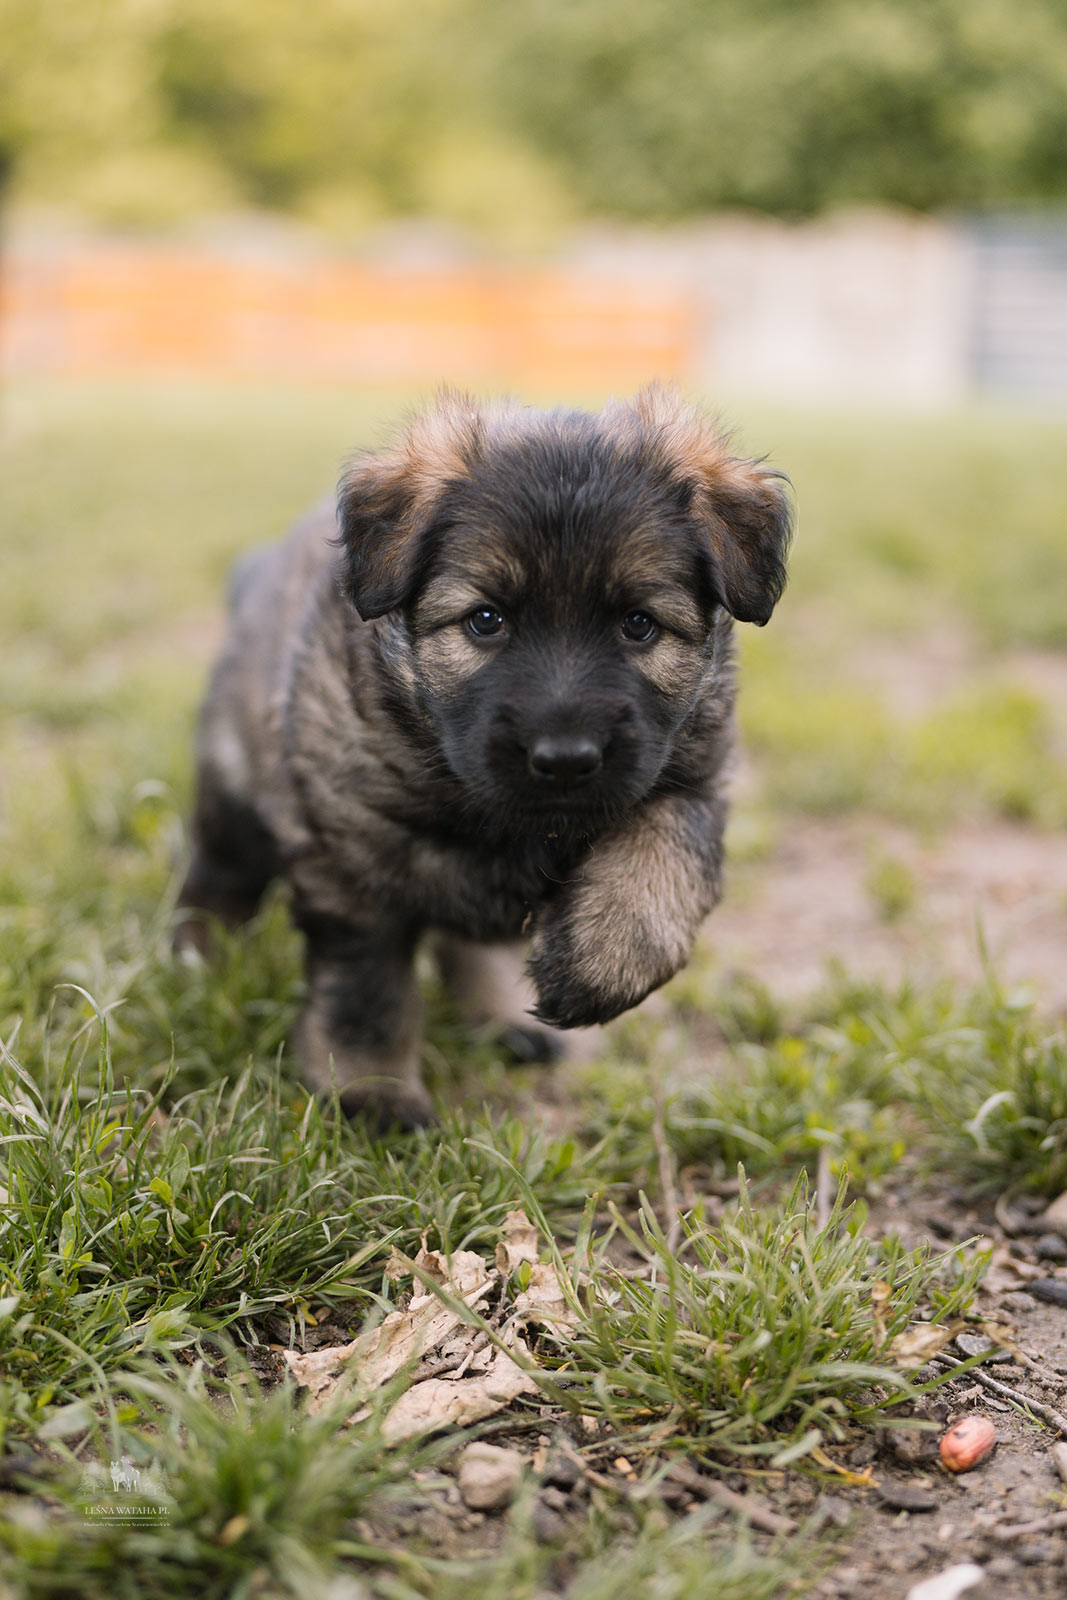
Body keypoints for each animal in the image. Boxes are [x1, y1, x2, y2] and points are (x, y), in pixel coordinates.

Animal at [175, 385, 792, 1126]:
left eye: (638, 624)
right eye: (485, 620)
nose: (564, 760)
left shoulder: (694, 772)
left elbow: (667, 858)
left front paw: (600, 965)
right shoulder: (350, 861)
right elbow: (367, 993)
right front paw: (372, 1092)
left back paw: (504, 1020)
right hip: (236, 792)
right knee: (217, 879)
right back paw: (197, 962)